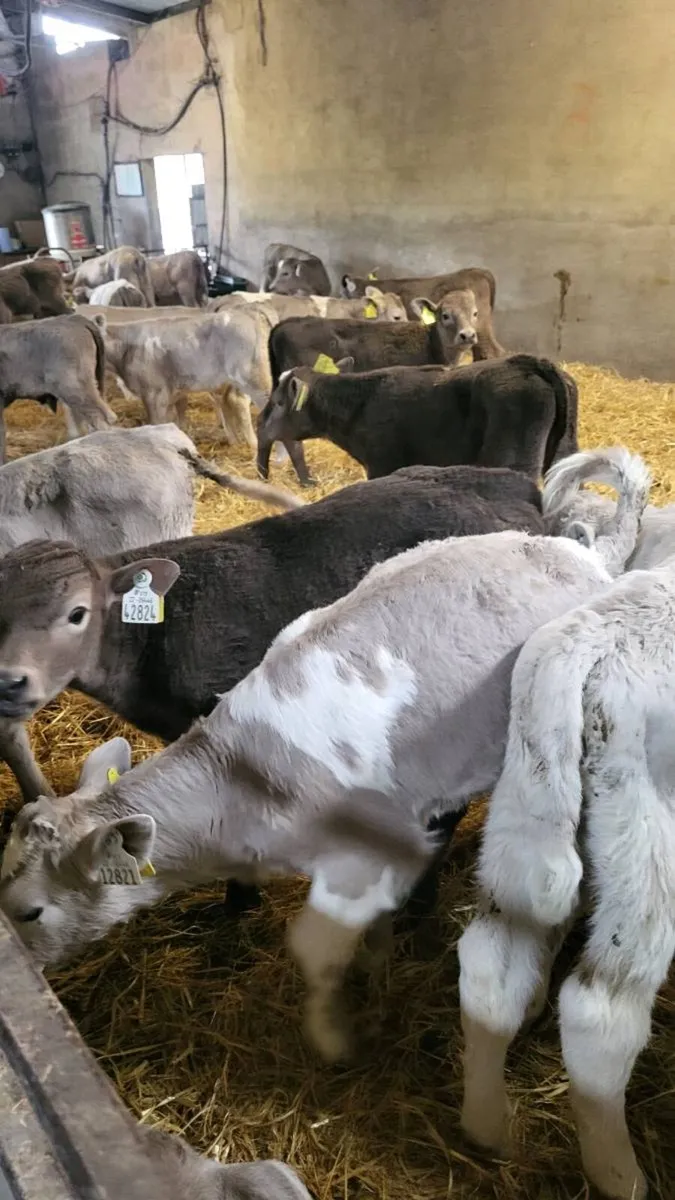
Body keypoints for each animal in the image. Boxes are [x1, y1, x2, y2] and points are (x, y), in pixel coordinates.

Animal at [257, 355, 578, 487]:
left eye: (278, 401)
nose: (260, 421)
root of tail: (525, 362)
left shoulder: (382, 464)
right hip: (564, 453)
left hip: (512, 459)